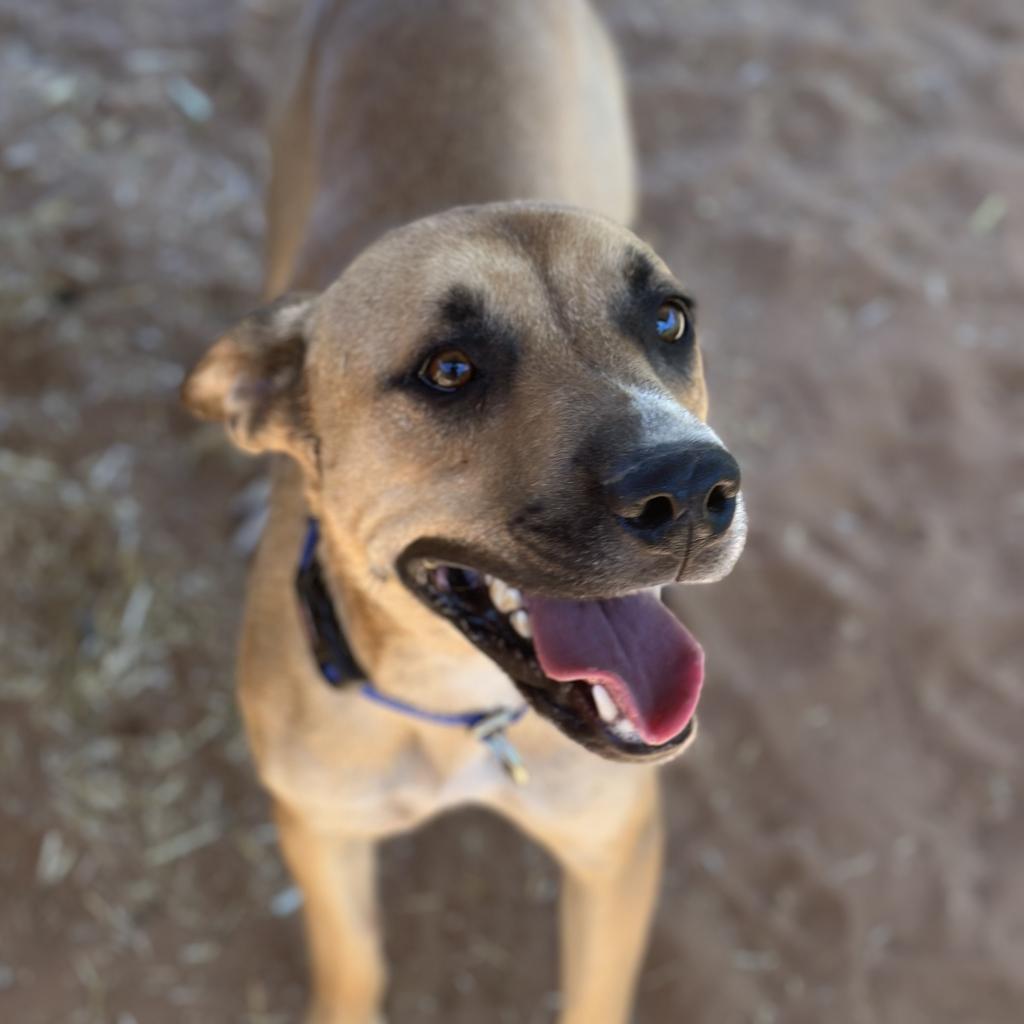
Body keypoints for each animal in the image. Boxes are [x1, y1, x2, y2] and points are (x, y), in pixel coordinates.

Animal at [182, 2, 745, 1024]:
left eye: (670, 321)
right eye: (449, 369)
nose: (692, 487)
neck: (453, 707)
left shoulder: (615, 853)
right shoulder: (322, 835)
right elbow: (352, 971)